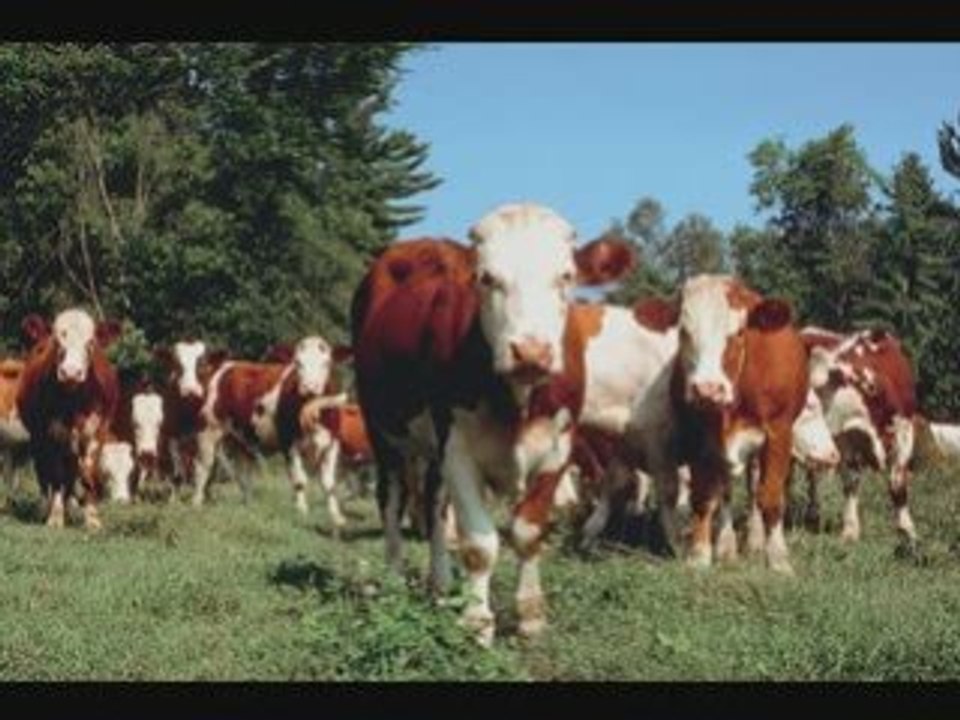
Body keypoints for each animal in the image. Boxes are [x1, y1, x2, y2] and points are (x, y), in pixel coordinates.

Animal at [16, 309, 122, 529]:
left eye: (90, 342)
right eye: (57, 341)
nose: (71, 372)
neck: (74, 404)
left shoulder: (97, 431)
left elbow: (88, 471)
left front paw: (92, 517)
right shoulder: (51, 432)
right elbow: (55, 475)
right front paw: (55, 517)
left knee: (72, 472)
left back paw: (71, 508)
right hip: (38, 438)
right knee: (44, 471)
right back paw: (46, 508)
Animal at [191, 335, 351, 522]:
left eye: (326, 362)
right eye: (297, 363)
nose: (309, 388)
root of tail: (226, 365)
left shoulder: (332, 443)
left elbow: (329, 484)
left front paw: (336, 516)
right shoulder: (289, 443)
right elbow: (299, 481)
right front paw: (302, 511)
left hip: (241, 438)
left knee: (242, 471)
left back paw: (248, 505)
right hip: (208, 428)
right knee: (203, 466)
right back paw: (196, 503)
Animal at [351, 203, 635, 645]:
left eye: (566, 276)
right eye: (486, 278)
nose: (531, 351)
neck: (519, 399)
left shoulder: (557, 451)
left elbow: (528, 532)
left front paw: (531, 615)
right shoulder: (458, 450)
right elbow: (479, 543)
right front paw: (476, 621)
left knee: (433, 501)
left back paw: (440, 584)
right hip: (383, 429)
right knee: (392, 498)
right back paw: (396, 581)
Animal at [631, 275, 809, 574]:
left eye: (738, 333)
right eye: (684, 332)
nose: (707, 389)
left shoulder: (779, 432)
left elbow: (771, 497)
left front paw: (778, 558)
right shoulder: (697, 437)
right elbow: (704, 497)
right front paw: (700, 555)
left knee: (754, 490)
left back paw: (755, 541)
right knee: (725, 491)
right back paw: (727, 546)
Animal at [801, 326, 919, 544]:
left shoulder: (905, 430)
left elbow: (897, 484)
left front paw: (907, 532)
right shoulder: (845, 442)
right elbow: (850, 482)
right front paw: (850, 530)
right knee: (812, 476)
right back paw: (812, 514)